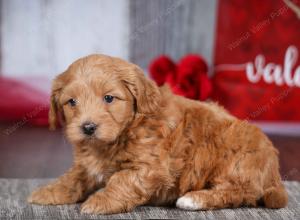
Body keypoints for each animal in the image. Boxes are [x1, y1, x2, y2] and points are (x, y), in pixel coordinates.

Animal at [28, 54, 288, 214]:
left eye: (109, 98)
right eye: (71, 102)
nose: (88, 127)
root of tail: (274, 172)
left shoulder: (153, 167)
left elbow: (122, 179)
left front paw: (101, 201)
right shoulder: (87, 164)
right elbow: (73, 177)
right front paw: (50, 191)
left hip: (236, 158)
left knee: (242, 192)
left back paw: (194, 199)